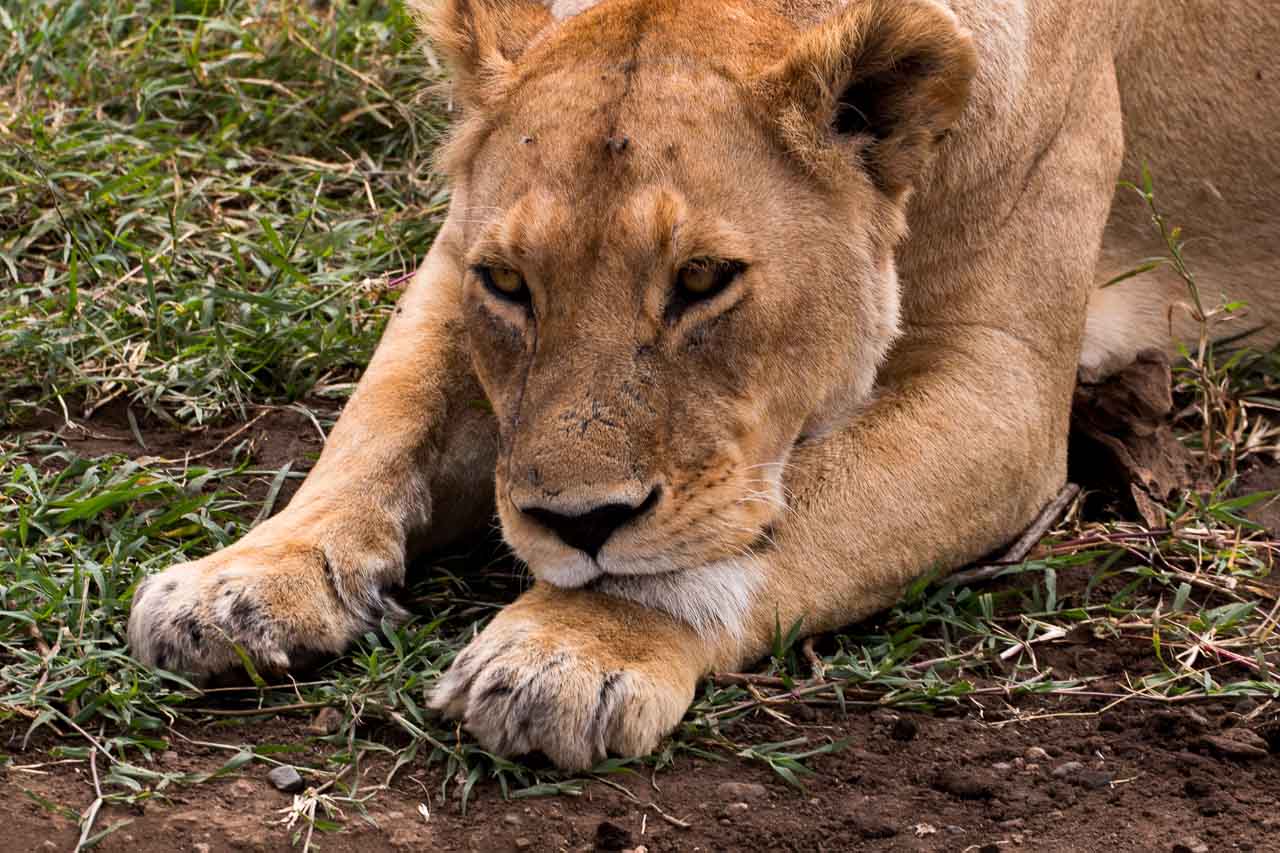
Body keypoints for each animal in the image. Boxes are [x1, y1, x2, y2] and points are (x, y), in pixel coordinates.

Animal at [128, 0, 1280, 769]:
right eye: (510, 284)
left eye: (700, 280)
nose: (573, 521)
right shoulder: (449, 260)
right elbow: (381, 420)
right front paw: (246, 579)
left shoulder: (1000, 383)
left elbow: (786, 516)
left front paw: (567, 651)